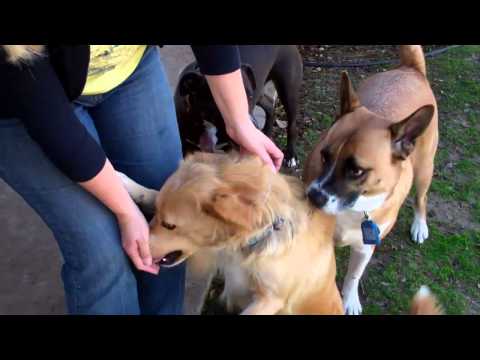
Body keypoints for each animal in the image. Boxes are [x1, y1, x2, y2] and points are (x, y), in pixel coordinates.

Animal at [120, 152, 344, 316]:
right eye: (158, 214)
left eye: (169, 225)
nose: (132, 247)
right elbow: (152, 192)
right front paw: (127, 184)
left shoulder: (271, 299)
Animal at [174, 45, 302, 167]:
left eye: (249, 97)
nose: (252, 131)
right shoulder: (187, 148)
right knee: (270, 105)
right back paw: (267, 131)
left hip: (288, 90)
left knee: (292, 125)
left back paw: (291, 156)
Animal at [306, 45, 436, 316]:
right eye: (324, 155)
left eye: (357, 171)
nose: (312, 196)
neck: (353, 209)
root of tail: (410, 69)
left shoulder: (365, 247)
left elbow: (354, 275)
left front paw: (349, 300)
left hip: (425, 169)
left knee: (421, 198)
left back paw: (420, 225)